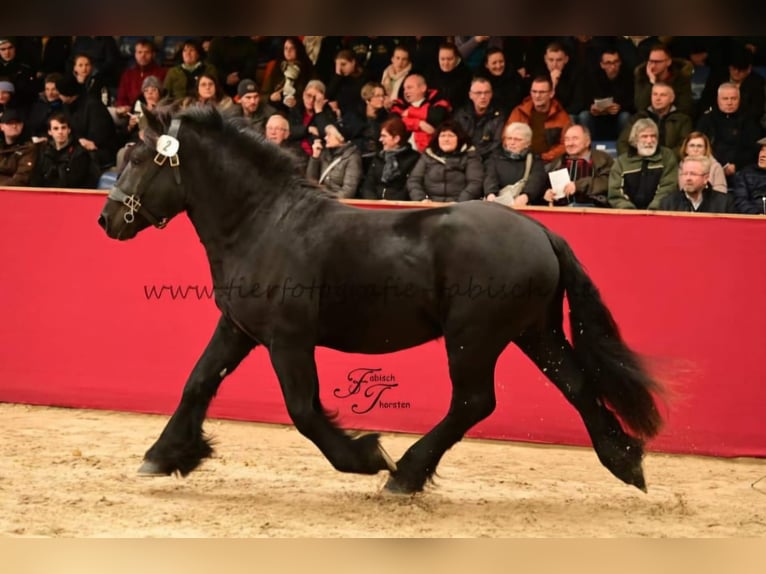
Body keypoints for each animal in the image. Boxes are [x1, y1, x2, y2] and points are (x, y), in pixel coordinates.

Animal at [97, 107, 664, 496]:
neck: (265, 224)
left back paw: (404, 474)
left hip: (474, 338)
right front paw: (165, 454)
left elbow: (303, 410)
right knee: (576, 385)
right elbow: (197, 382)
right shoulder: (238, 329)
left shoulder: (288, 340)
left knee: (475, 401)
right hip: (534, 333)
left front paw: (366, 456)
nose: (107, 220)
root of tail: (541, 231)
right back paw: (626, 463)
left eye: (143, 159)